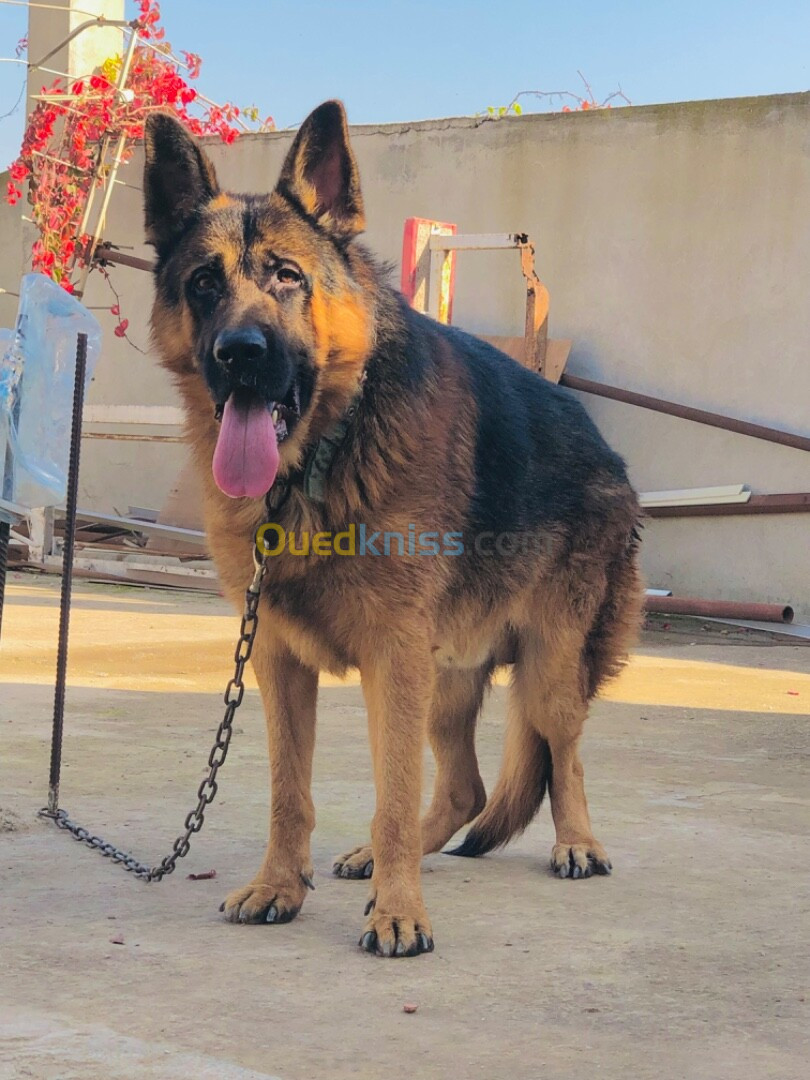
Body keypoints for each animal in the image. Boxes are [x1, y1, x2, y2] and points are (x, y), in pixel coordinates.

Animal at [144, 101, 639, 959]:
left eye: (287, 276)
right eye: (203, 283)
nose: (240, 355)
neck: (325, 451)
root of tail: (598, 436)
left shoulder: (392, 659)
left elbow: (396, 795)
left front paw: (399, 911)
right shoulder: (278, 662)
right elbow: (290, 792)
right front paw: (282, 886)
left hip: (544, 667)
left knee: (564, 753)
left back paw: (577, 842)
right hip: (444, 681)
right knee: (468, 788)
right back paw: (378, 858)